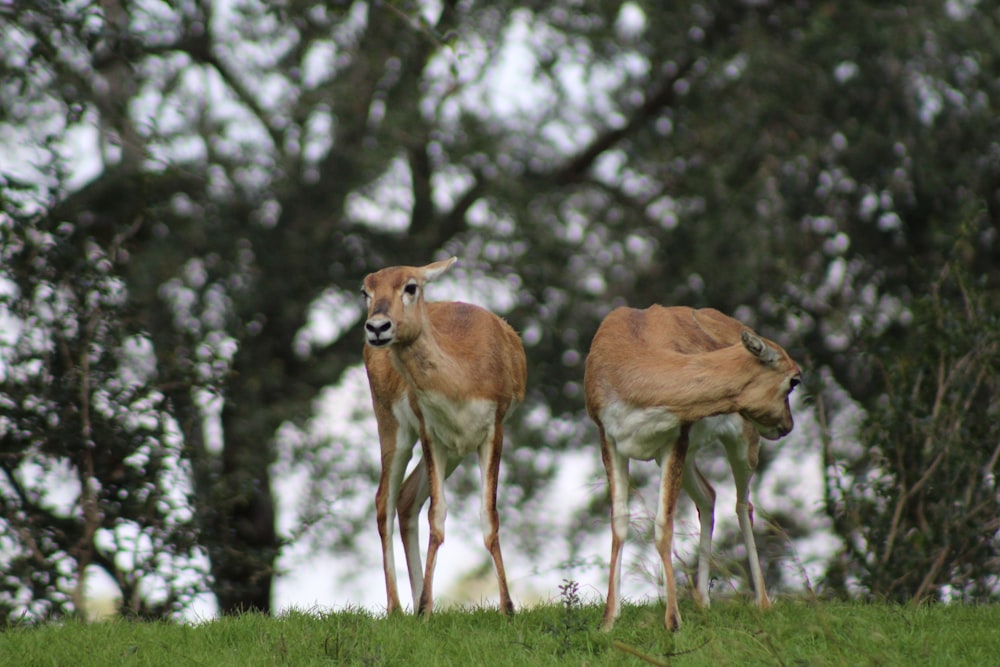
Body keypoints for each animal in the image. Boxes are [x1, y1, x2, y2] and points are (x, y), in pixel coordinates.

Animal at [364, 258, 528, 620]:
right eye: (365, 291)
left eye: (411, 286)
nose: (377, 327)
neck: (462, 380)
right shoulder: (430, 431)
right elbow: (437, 516)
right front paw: (425, 609)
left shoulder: (492, 430)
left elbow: (489, 516)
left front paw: (508, 608)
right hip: (393, 427)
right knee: (384, 500)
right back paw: (398, 608)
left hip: (455, 451)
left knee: (406, 497)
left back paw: (418, 602)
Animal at [584, 306, 800, 632]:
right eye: (794, 380)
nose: (787, 426)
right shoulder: (609, 440)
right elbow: (619, 522)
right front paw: (608, 621)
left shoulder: (676, 438)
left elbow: (663, 526)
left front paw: (673, 621)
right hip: (682, 461)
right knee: (709, 497)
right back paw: (703, 601)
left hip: (742, 445)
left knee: (743, 505)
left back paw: (762, 603)